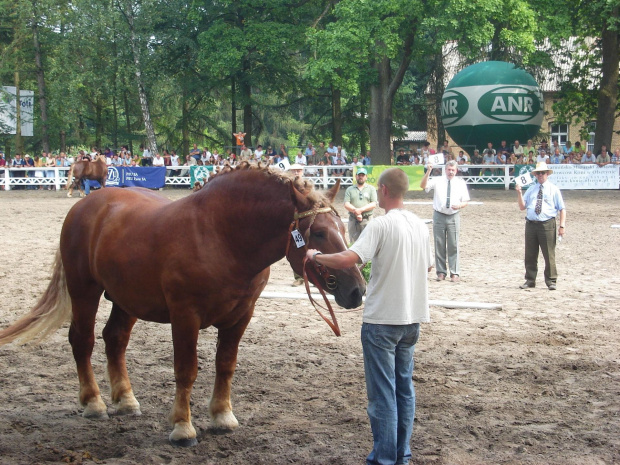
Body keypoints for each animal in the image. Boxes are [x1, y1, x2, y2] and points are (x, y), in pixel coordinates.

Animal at [0, 163, 366, 446]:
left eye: (341, 227)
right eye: (319, 233)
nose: (357, 290)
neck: (221, 236)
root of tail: (88, 203)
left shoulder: (241, 317)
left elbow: (226, 365)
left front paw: (222, 416)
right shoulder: (185, 316)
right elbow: (186, 370)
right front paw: (182, 427)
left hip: (126, 300)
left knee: (114, 339)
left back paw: (126, 400)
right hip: (85, 291)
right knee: (83, 341)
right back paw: (94, 403)